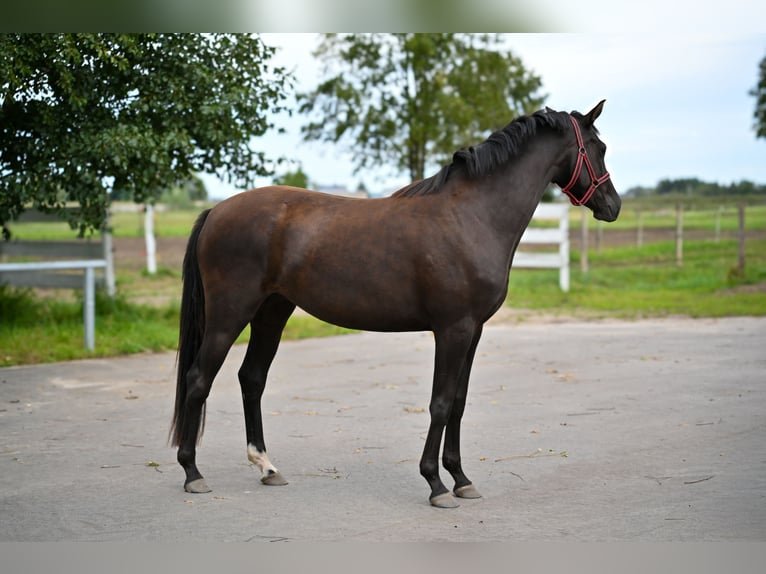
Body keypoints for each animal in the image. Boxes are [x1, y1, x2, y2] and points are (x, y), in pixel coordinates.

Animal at [170, 100, 621, 508]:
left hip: (272, 311)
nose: (613, 206)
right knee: (198, 379)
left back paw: (266, 467)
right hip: (230, 314)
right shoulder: (453, 329)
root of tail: (216, 211)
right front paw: (436, 484)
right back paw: (192, 472)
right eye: (598, 147)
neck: (472, 216)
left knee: (252, 378)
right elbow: (440, 403)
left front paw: (461, 479)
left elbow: (459, 403)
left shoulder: (473, 330)